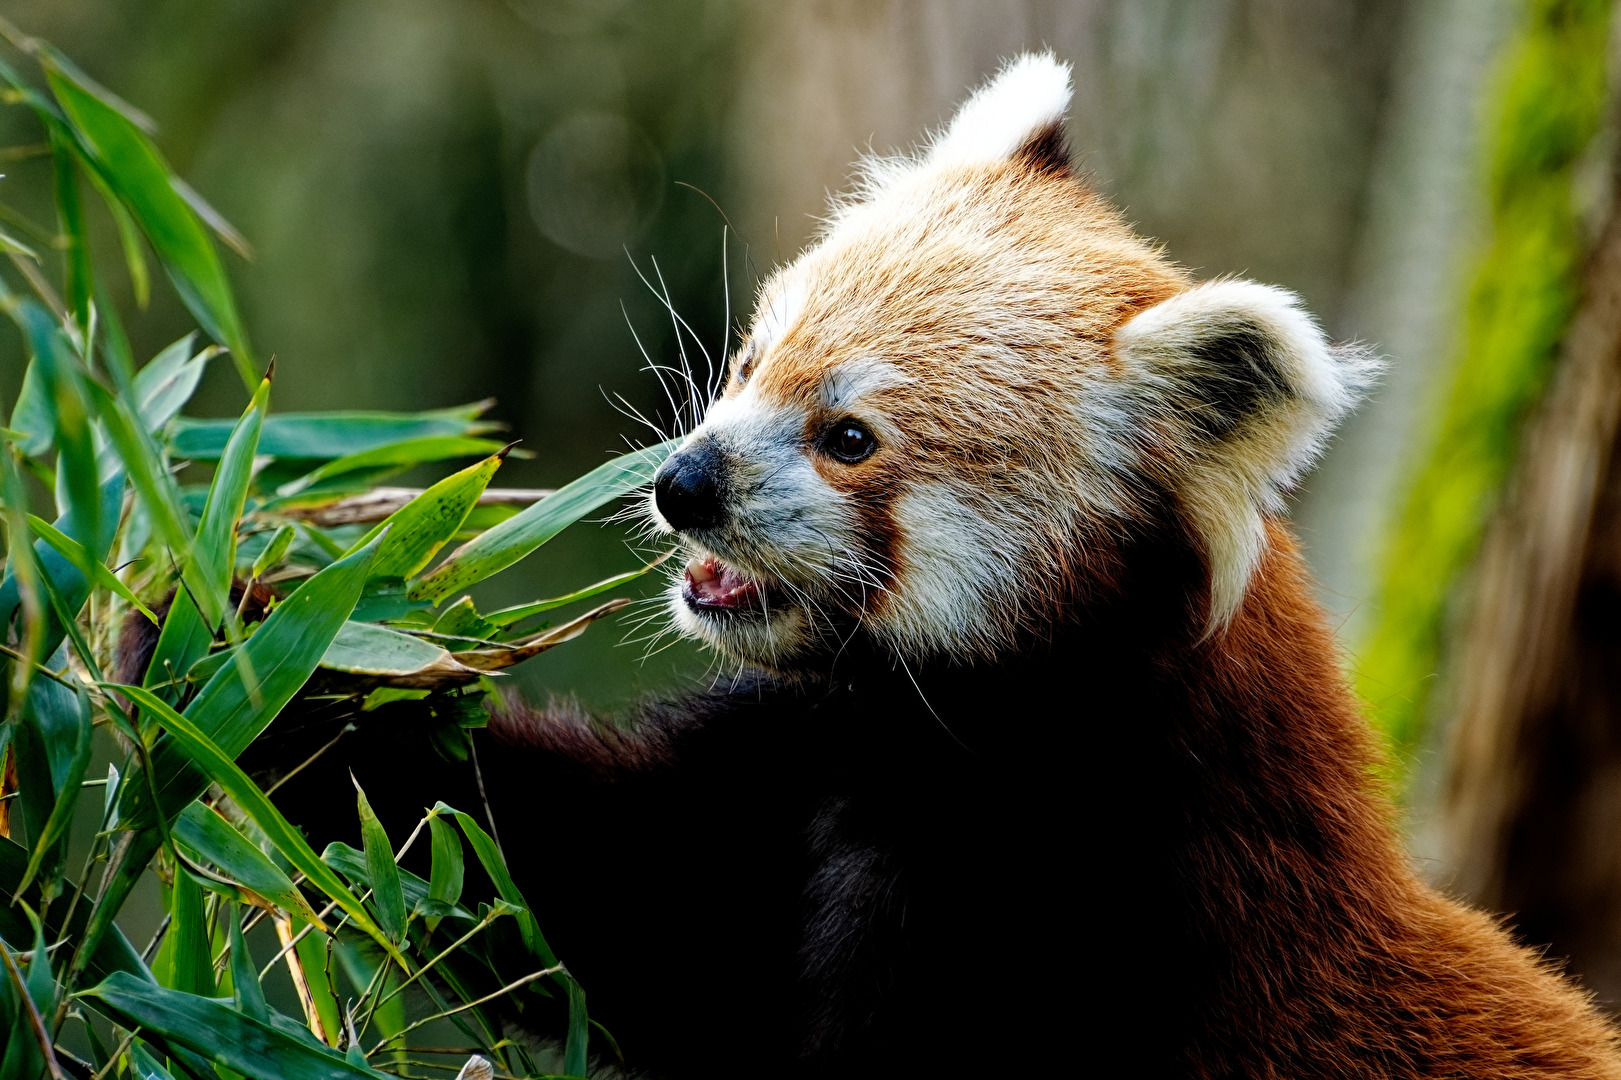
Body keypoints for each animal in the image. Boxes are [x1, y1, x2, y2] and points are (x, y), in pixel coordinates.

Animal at [269, 55, 1621, 1079]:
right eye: (750, 359)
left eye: (850, 439)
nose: (682, 484)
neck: (944, 737)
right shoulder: (797, 772)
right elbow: (591, 880)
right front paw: (279, 664)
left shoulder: (1057, 918)